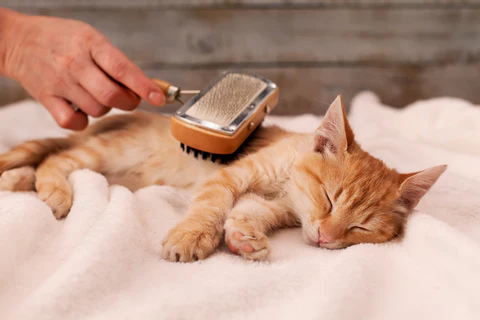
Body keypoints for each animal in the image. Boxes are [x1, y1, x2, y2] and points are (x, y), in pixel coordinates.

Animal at [0, 96, 446, 262]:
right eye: (329, 198)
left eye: (361, 228)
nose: (324, 238)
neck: (288, 188)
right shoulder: (237, 173)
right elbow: (212, 202)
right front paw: (193, 235)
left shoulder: (274, 206)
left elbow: (249, 211)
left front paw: (243, 237)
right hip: (109, 151)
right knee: (56, 158)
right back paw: (51, 190)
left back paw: (19, 180)